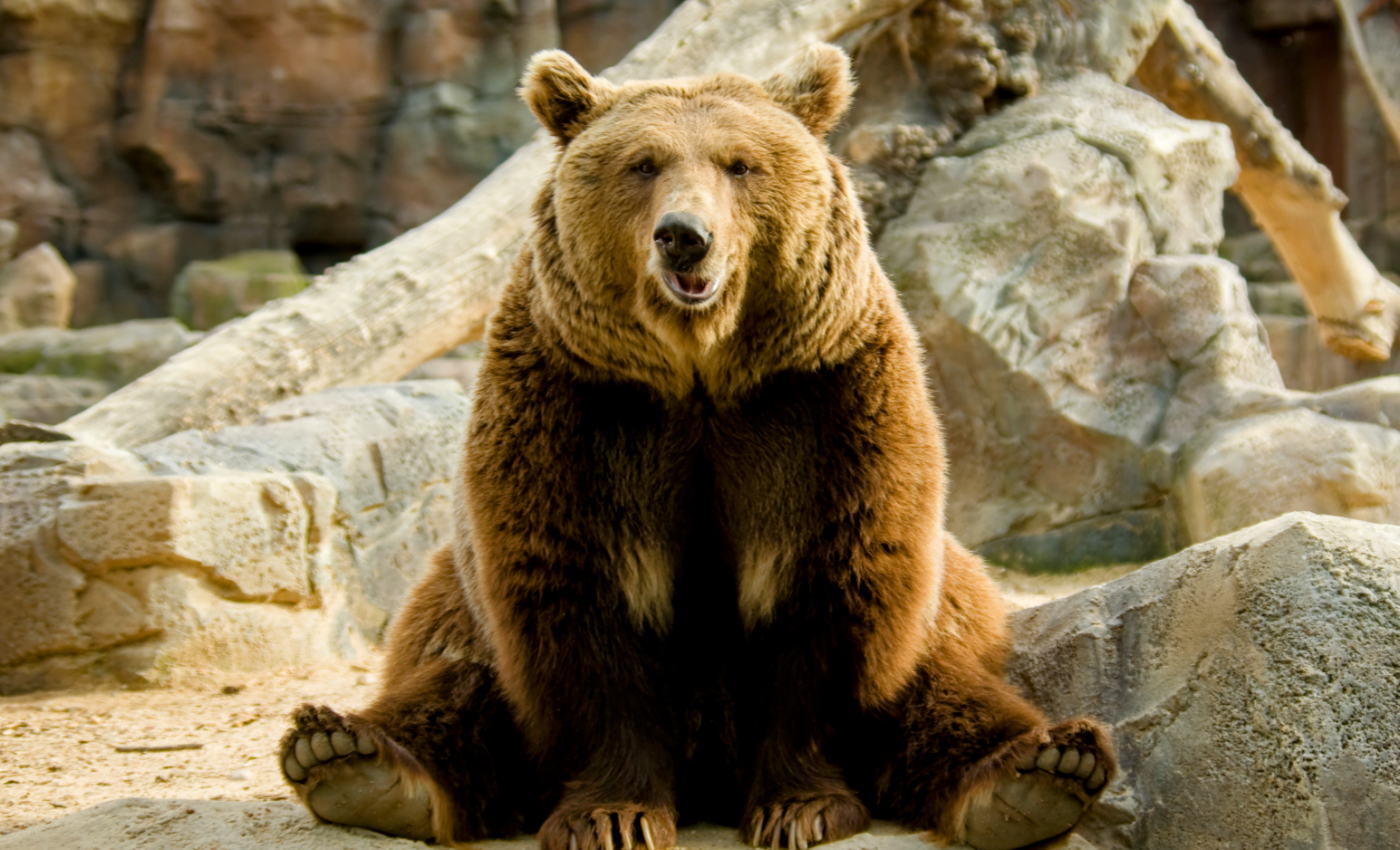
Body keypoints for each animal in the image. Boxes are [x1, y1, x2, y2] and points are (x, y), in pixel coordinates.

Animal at [277, 44, 1116, 850]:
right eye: (643, 163)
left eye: (740, 164)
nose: (685, 236)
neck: (700, 369)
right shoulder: (579, 408)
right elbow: (584, 605)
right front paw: (613, 814)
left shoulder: (822, 403)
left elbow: (829, 589)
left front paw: (801, 806)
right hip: (454, 601)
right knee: (454, 684)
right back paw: (351, 758)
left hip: (954, 601)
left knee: (948, 685)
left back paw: (1040, 770)